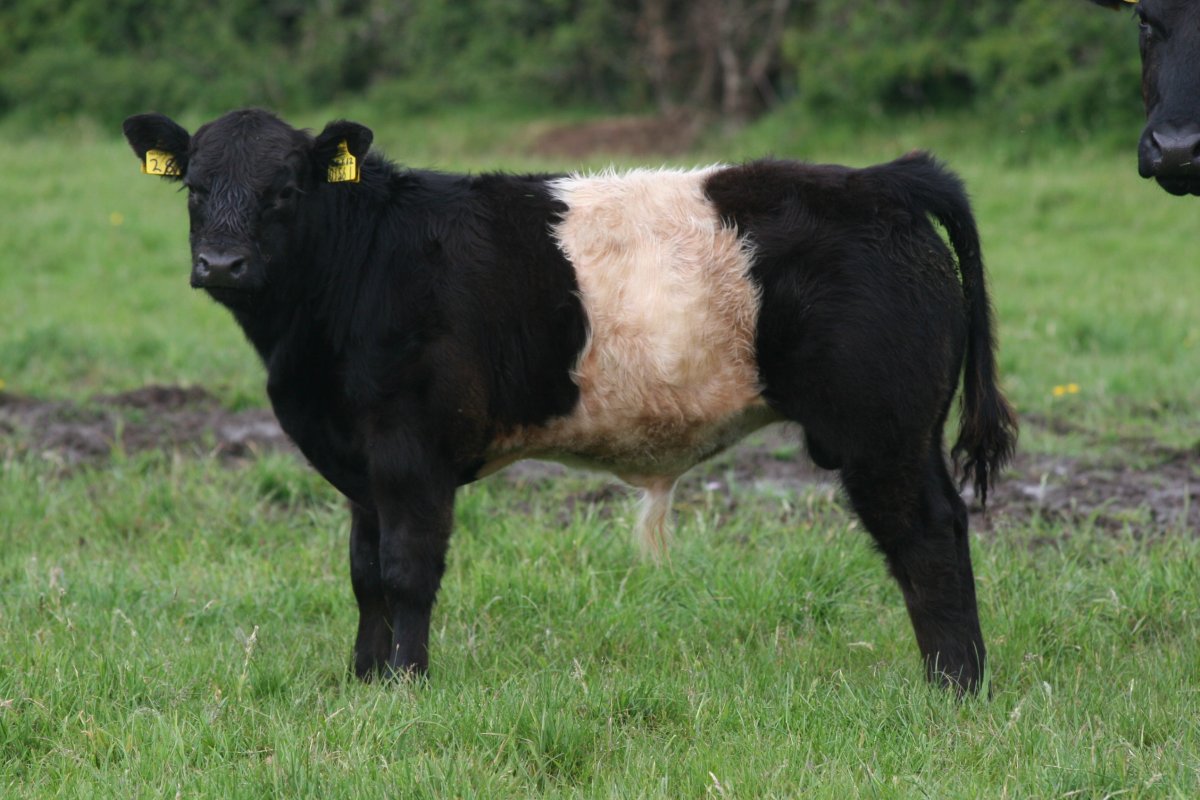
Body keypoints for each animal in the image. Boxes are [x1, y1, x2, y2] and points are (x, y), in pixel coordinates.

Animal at [122, 108, 1016, 694]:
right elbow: (364, 573)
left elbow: (407, 569)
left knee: (927, 534)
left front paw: (406, 684)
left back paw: (953, 684)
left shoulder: (411, 450)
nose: (222, 263)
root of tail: (880, 180)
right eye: (194, 187)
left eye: (283, 189)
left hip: (883, 430)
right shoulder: (359, 462)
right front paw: (364, 679)